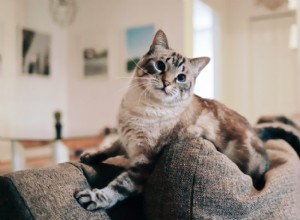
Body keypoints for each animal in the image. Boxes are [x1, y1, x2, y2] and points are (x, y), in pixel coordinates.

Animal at [75, 29, 270, 210]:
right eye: (160, 65)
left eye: (181, 78)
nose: (166, 83)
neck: (140, 107)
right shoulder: (125, 139)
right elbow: (109, 148)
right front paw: (88, 157)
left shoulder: (143, 160)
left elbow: (120, 186)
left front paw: (94, 198)